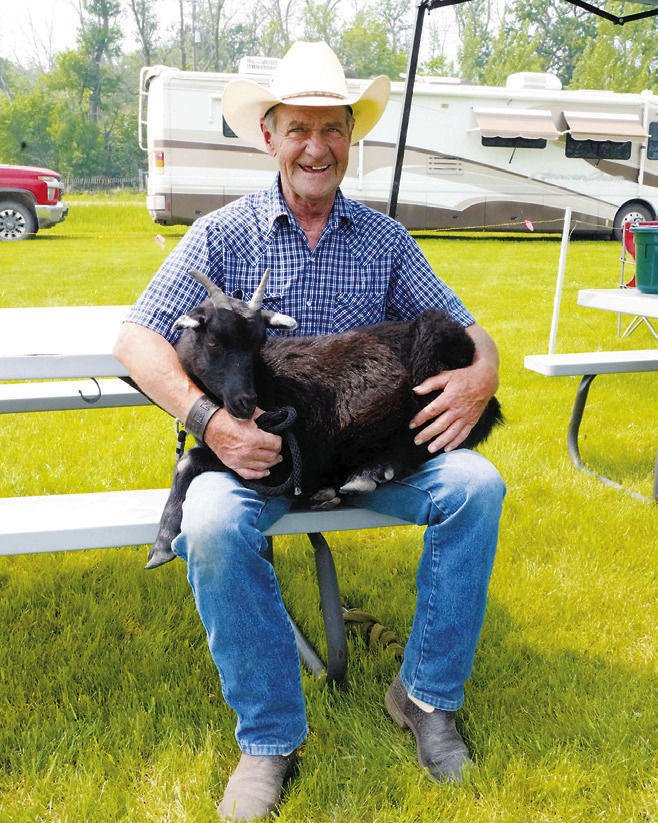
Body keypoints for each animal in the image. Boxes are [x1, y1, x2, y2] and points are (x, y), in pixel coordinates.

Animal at [146, 268, 503, 569]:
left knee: (430, 438)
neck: (266, 378)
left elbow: (188, 460)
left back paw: (371, 472)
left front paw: (161, 544)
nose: (246, 403)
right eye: (213, 341)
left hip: (440, 379)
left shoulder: (283, 464)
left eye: (259, 342)